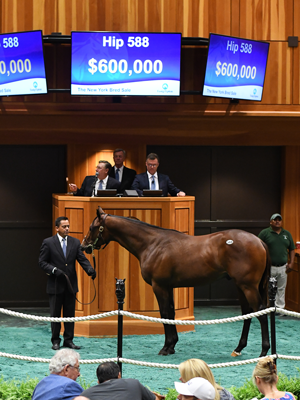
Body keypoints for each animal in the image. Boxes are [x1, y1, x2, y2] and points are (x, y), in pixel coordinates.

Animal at [81, 206, 270, 356]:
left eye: (92, 227)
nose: (84, 246)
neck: (152, 244)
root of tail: (259, 241)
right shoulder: (168, 287)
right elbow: (171, 313)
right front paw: (172, 345)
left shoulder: (159, 286)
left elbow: (164, 313)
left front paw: (166, 347)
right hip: (241, 286)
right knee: (247, 313)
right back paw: (238, 348)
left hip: (248, 286)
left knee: (261, 312)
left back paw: (264, 351)